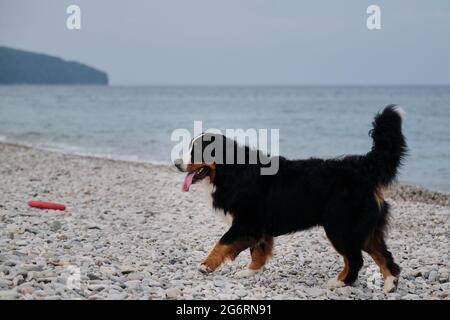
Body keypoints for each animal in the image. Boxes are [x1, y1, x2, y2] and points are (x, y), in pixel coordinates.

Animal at [174, 106, 406, 294]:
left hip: (340, 227)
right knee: (384, 255)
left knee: (355, 259)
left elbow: (222, 243)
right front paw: (249, 272)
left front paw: (206, 265)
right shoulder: (258, 227)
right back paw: (389, 284)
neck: (231, 170)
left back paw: (340, 282)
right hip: (363, 230)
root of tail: (361, 167)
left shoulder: (246, 223)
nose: (176, 163)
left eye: (197, 150)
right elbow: (257, 251)